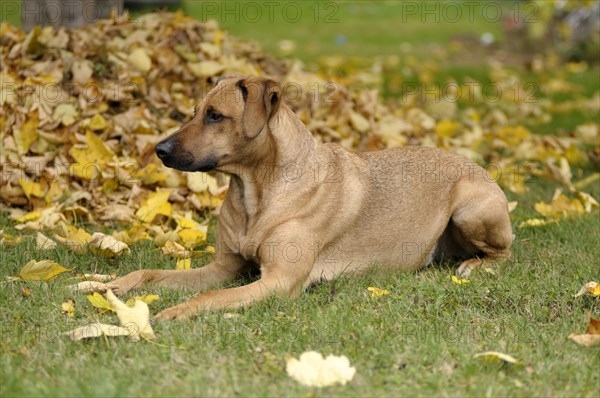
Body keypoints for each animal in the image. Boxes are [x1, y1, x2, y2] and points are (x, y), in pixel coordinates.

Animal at [106, 77, 510, 320]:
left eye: (215, 116)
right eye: (193, 113)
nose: (159, 150)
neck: (256, 191)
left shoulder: (279, 282)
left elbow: (210, 298)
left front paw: (177, 311)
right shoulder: (221, 270)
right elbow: (149, 273)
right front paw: (111, 284)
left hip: (471, 209)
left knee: (503, 253)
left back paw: (476, 265)